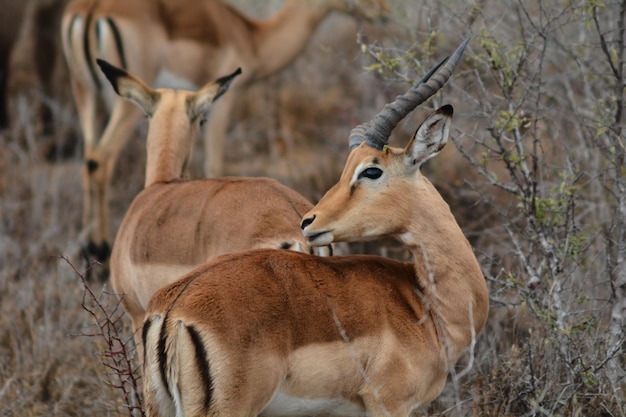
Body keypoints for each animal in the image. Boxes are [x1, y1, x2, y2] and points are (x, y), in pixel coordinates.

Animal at [59, 0, 380, 262]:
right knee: (102, 159)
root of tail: (91, 9)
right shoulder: (223, 104)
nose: (380, 12)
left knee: (89, 159)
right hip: (124, 104)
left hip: (83, 92)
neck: (250, 37)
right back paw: (99, 248)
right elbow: (214, 165)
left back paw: (88, 249)